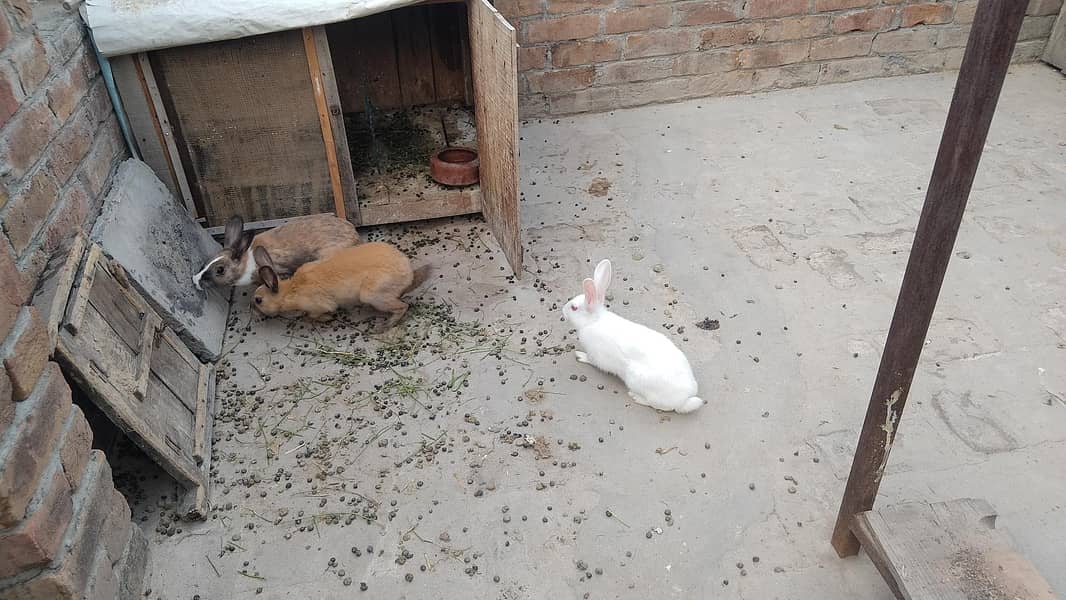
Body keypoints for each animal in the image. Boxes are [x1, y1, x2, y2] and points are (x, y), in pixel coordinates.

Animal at [251, 242, 431, 331]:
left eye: (258, 300)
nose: (253, 311)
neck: (290, 291)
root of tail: (407, 273)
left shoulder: (319, 306)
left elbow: (312, 316)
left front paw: (326, 318)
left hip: (373, 294)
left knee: (403, 306)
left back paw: (383, 326)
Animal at [562, 259, 704, 414]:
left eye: (574, 308)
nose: (563, 310)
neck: (593, 320)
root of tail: (684, 400)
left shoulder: (597, 355)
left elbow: (591, 360)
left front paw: (580, 356)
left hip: (636, 379)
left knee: (658, 405)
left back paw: (636, 397)